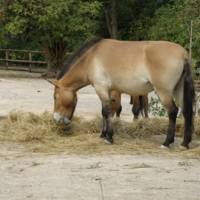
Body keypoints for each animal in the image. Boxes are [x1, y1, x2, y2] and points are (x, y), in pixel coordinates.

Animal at [47, 38, 195, 149]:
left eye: (55, 97)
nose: (56, 119)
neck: (90, 58)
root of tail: (183, 54)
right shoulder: (107, 91)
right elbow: (104, 112)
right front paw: (103, 134)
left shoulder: (101, 89)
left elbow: (106, 112)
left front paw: (109, 137)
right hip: (178, 90)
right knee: (186, 111)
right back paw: (185, 143)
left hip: (164, 92)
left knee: (173, 111)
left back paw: (167, 142)